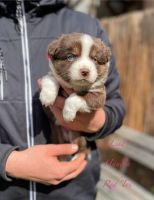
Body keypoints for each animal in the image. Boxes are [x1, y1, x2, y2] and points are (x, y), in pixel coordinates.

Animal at [39, 32, 110, 160]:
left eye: (95, 59)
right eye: (71, 57)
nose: (85, 71)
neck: (75, 86)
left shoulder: (99, 95)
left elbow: (76, 97)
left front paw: (67, 114)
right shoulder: (53, 75)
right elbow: (51, 79)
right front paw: (47, 97)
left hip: (79, 138)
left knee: (82, 148)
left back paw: (77, 157)